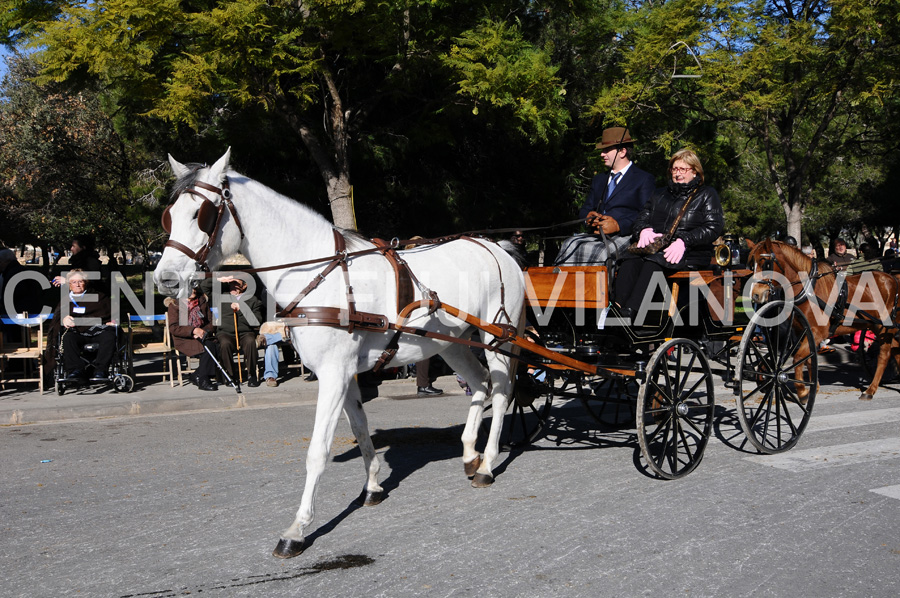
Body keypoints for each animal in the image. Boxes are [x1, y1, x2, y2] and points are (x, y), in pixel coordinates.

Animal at [151, 149, 524, 556]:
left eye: (201, 214)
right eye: (169, 216)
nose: (165, 279)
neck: (318, 273)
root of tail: (496, 247)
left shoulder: (333, 373)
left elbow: (318, 450)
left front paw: (297, 528)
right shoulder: (343, 373)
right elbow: (360, 427)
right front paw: (373, 486)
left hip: (498, 339)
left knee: (501, 392)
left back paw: (487, 465)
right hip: (453, 343)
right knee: (480, 384)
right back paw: (470, 455)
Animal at [744, 240, 900, 404]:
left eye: (766, 264)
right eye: (752, 265)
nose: (755, 295)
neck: (809, 290)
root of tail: (892, 279)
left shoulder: (818, 332)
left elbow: (799, 357)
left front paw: (802, 392)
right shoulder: (804, 331)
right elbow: (809, 359)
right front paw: (814, 387)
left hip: (884, 327)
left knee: (884, 355)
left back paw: (870, 389)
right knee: (895, 348)